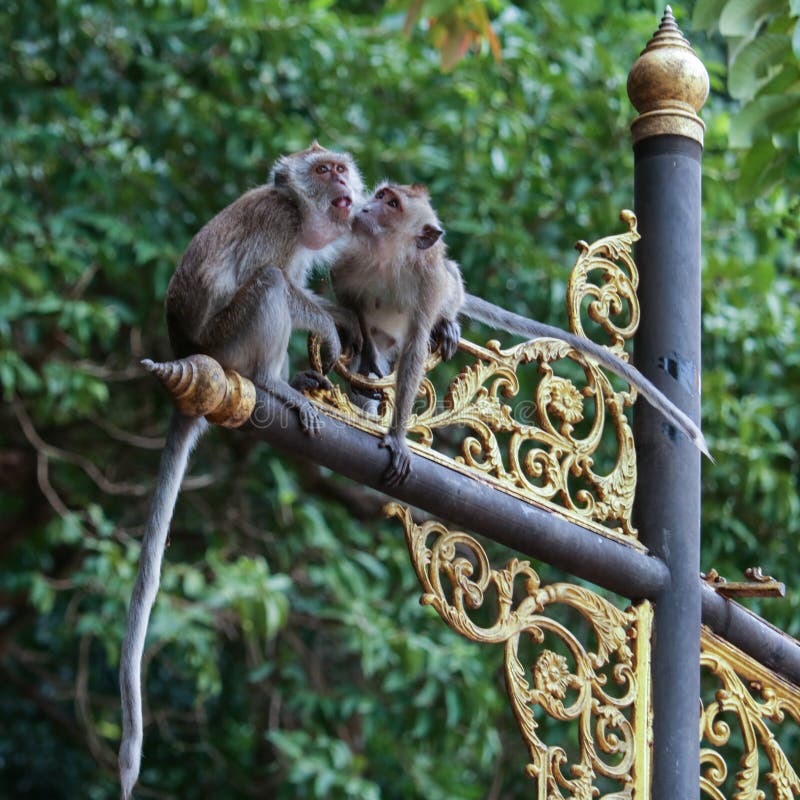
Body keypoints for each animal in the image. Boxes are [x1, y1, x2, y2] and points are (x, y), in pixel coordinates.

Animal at [117, 144, 364, 800]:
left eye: (339, 166)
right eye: (322, 169)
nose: (342, 181)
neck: (299, 214)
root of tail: (188, 353)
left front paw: (340, 322)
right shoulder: (278, 225)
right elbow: (284, 282)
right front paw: (330, 327)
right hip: (227, 343)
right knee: (270, 286)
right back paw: (276, 384)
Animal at [328, 184, 708, 484]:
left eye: (392, 204)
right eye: (380, 196)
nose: (365, 207)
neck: (390, 256)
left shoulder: (429, 281)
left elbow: (416, 346)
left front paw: (397, 435)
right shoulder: (352, 254)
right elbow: (348, 300)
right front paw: (367, 352)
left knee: (450, 283)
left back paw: (445, 325)